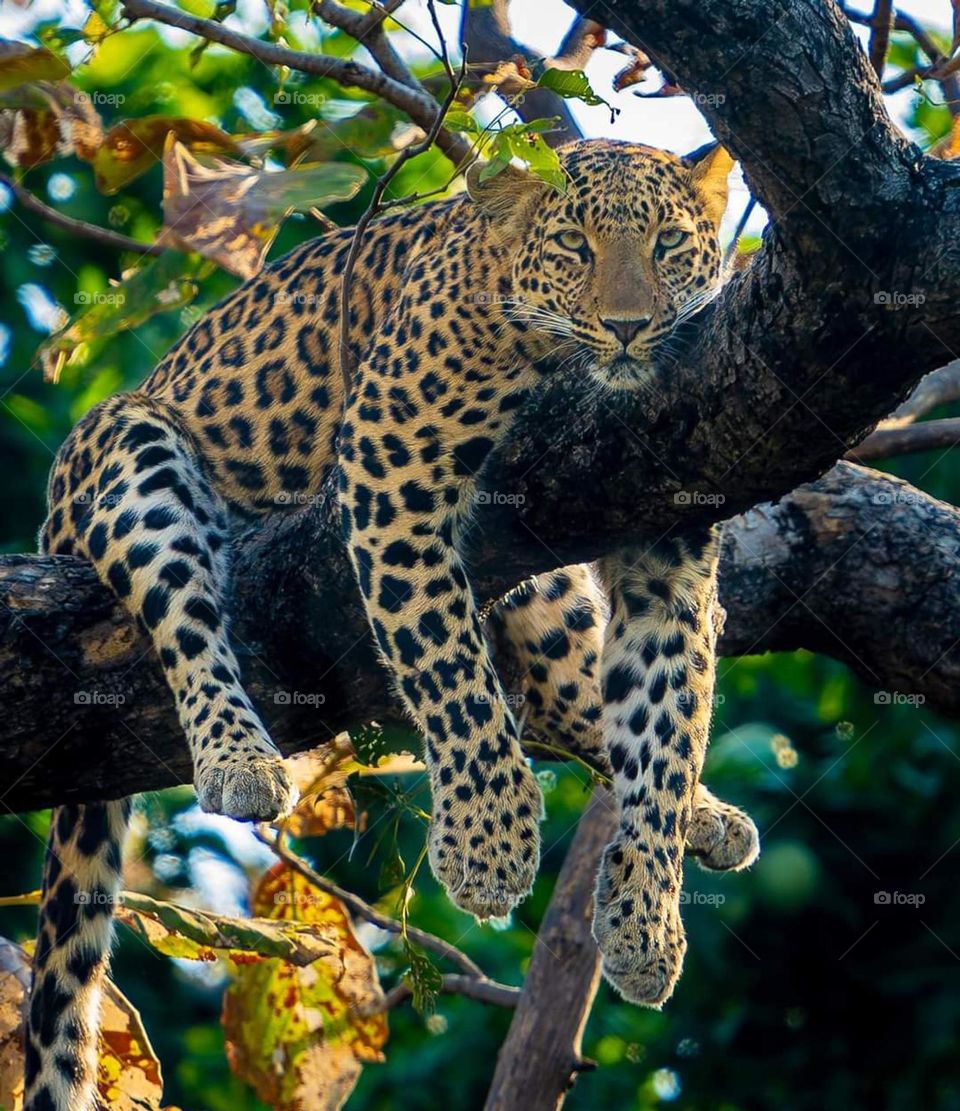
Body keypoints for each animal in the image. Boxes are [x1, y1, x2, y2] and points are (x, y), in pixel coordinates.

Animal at [23, 138, 759, 1111]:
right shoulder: (391, 474)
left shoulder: (667, 556)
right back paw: (241, 761)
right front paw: (489, 846)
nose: (633, 327)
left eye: (670, 244)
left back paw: (708, 817)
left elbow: (665, 728)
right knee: (187, 619)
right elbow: (451, 672)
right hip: (129, 451)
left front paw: (647, 920)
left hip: (553, 592)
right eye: (575, 246)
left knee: (572, 695)